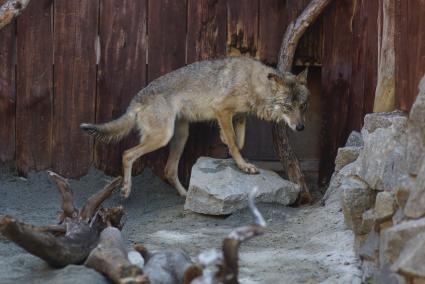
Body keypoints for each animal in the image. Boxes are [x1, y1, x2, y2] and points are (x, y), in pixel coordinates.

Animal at [80, 56, 308, 199]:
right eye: (288, 107)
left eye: (302, 106)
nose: (300, 128)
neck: (253, 83)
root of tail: (137, 98)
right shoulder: (221, 109)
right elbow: (235, 144)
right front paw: (243, 165)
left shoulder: (238, 115)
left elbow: (239, 140)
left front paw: (226, 142)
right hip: (162, 137)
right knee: (128, 154)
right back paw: (127, 189)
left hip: (180, 136)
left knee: (169, 170)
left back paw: (184, 195)